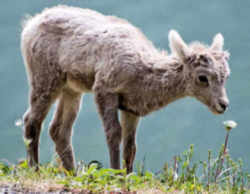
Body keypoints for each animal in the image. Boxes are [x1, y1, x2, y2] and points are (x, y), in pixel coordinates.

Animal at [21, 5, 230, 173]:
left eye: (226, 75)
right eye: (202, 77)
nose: (223, 105)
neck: (142, 75)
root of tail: (29, 26)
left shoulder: (132, 108)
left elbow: (131, 146)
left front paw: (127, 176)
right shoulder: (104, 89)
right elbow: (114, 134)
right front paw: (114, 174)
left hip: (71, 89)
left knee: (59, 130)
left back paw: (72, 173)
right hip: (45, 78)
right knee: (31, 120)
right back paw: (35, 169)